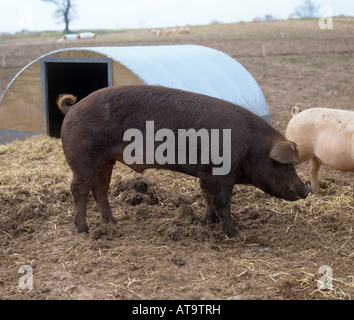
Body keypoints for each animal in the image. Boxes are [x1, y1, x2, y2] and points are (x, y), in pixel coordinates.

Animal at [58, 85, 310, 238]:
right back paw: (83, 230)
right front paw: (234, 235)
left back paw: (113, 222)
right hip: (83, 156)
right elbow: (222, 203)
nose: (307, 189)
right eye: (287, 165)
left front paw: (209, 222)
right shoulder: (219, 175)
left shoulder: (206, 175)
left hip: (106, 160)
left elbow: (207, 198)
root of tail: (73, 107)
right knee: (78, 188)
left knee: (100, 189)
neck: (252, 148)